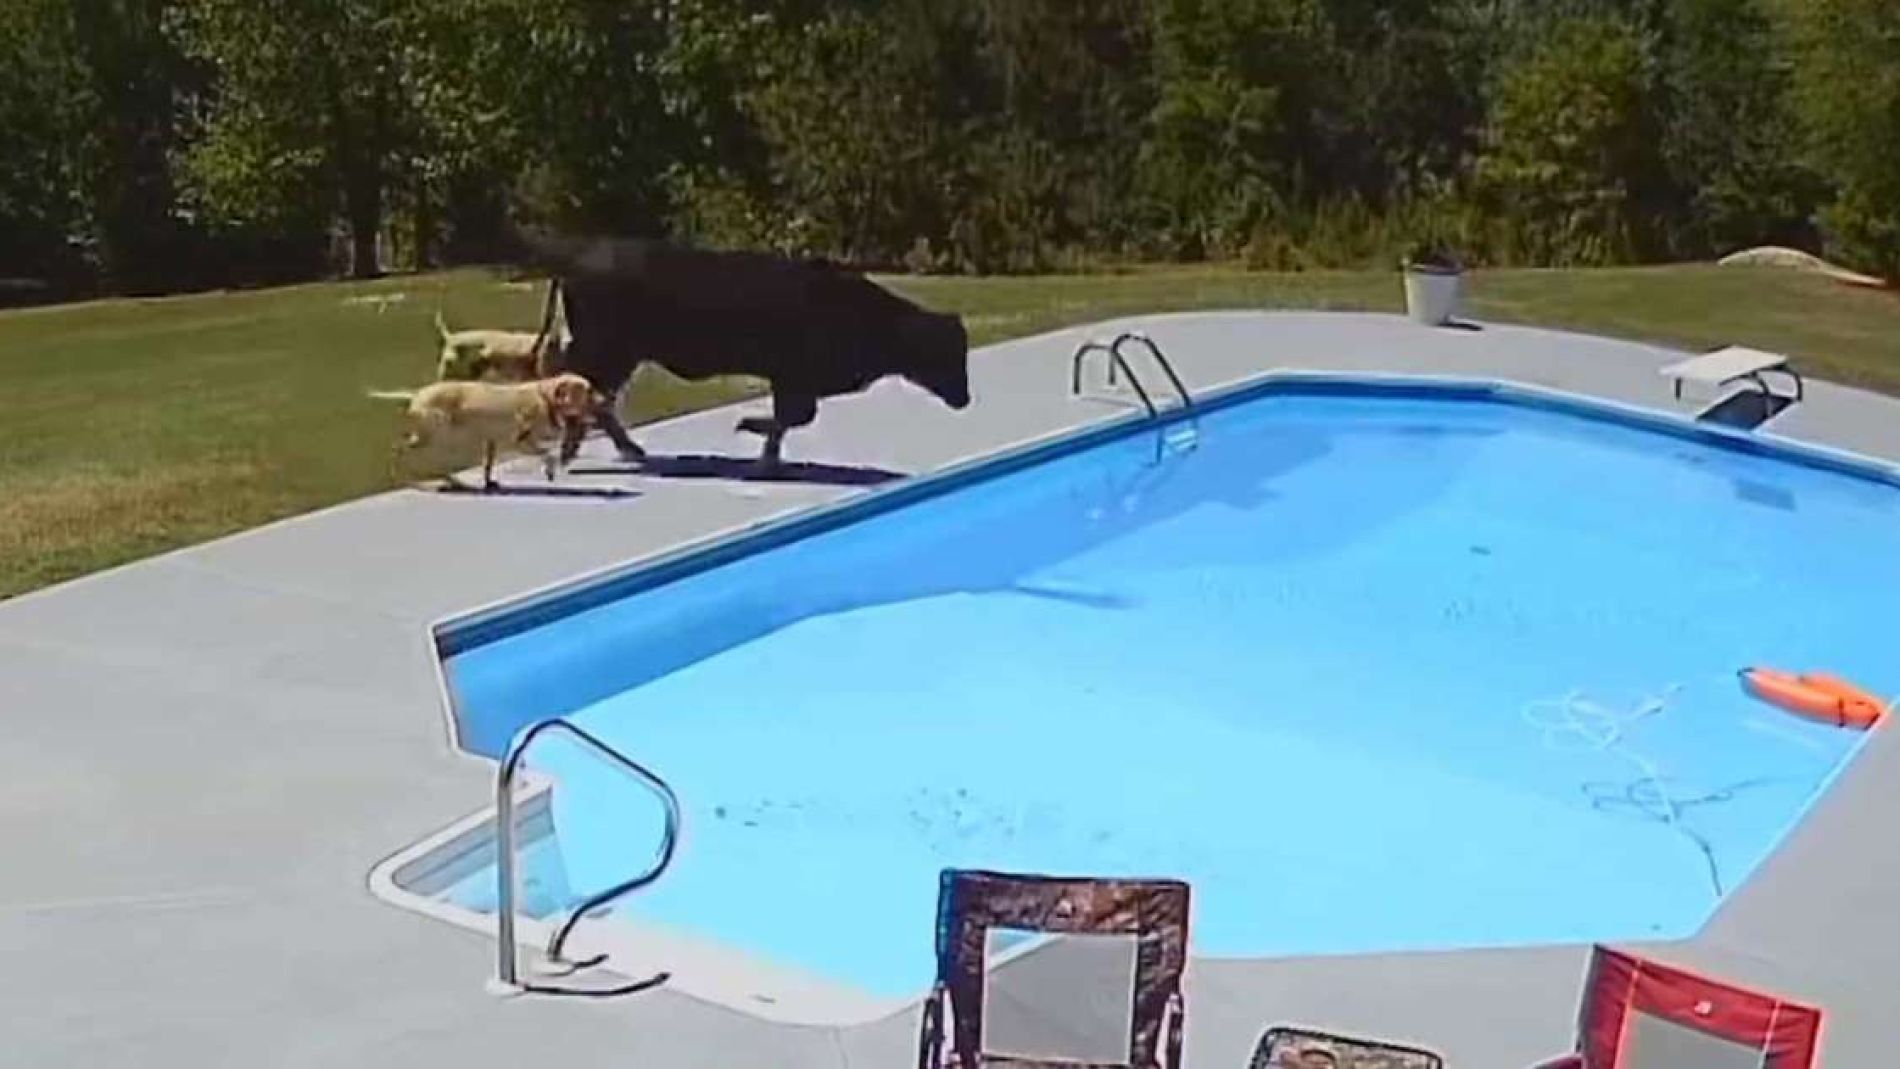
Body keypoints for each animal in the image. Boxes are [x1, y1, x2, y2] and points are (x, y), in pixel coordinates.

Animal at [514, 234, 973, 473]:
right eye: (946, 354)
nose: (965, 398)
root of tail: (578, 259)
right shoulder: (792, 378)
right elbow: (793, 417)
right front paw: (751, 434)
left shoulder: (793, 382)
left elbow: (791, 420)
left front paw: (767, 457)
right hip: (608, 350)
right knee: (582, 391)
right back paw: (581, 450)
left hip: (620, 354)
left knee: (597, 398)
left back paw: (626, 450)